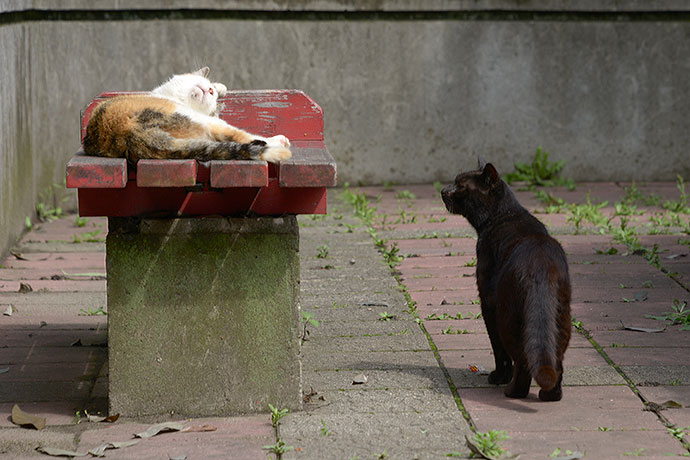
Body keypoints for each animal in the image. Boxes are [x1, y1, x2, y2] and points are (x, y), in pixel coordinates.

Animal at [83, 67, 290, 163]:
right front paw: (221, 87)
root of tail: (128, 134)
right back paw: (279, 141)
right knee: (240, 135)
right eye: (207, 85)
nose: (210, 90)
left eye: (211, 93)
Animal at [440, 160, 568, 400]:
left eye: (460, 186)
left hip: (508, 317)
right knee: (556, 359)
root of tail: (538, 264)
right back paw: (550, 395)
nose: (443, 190)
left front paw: (499, 376)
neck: (503, 214)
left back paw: (513, 391)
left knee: (522, 358)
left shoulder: (487, 301)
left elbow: (497, 348)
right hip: (561, 318)